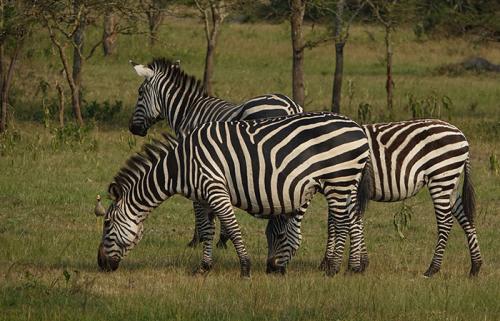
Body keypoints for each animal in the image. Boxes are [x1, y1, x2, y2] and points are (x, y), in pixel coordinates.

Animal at [97, 112, 372, 276]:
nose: (100, 265)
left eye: (107, 224)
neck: (182, 164)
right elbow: (207, 230)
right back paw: (355, 267)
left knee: (342, 223)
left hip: (338, 180)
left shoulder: (215, 188)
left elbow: (232, 226)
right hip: (347, 183)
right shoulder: (203, 198)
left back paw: (333, 269)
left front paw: (245, 268)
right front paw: (204, 267)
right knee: (354, 220)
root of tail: (357, 127)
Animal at [127, 57, 302, 248]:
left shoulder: (193, 161)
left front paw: (198, 240)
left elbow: (199, 206)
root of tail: (291, 106)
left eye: (140, 92)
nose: (133, 129)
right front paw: (222, 239)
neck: (186, 111)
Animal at [268, 119, 482, 276]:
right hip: (450, 182)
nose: (270, 270)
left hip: (441, 178)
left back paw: (432, 269)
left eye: (279, 236)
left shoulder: (343, 185)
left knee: (446, 222)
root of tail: (461, 134)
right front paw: (357, 262)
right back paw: (475, 266)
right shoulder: (343, 188)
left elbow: (338, 223)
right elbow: (344, 222)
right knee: (465, 218)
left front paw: (339, 264)